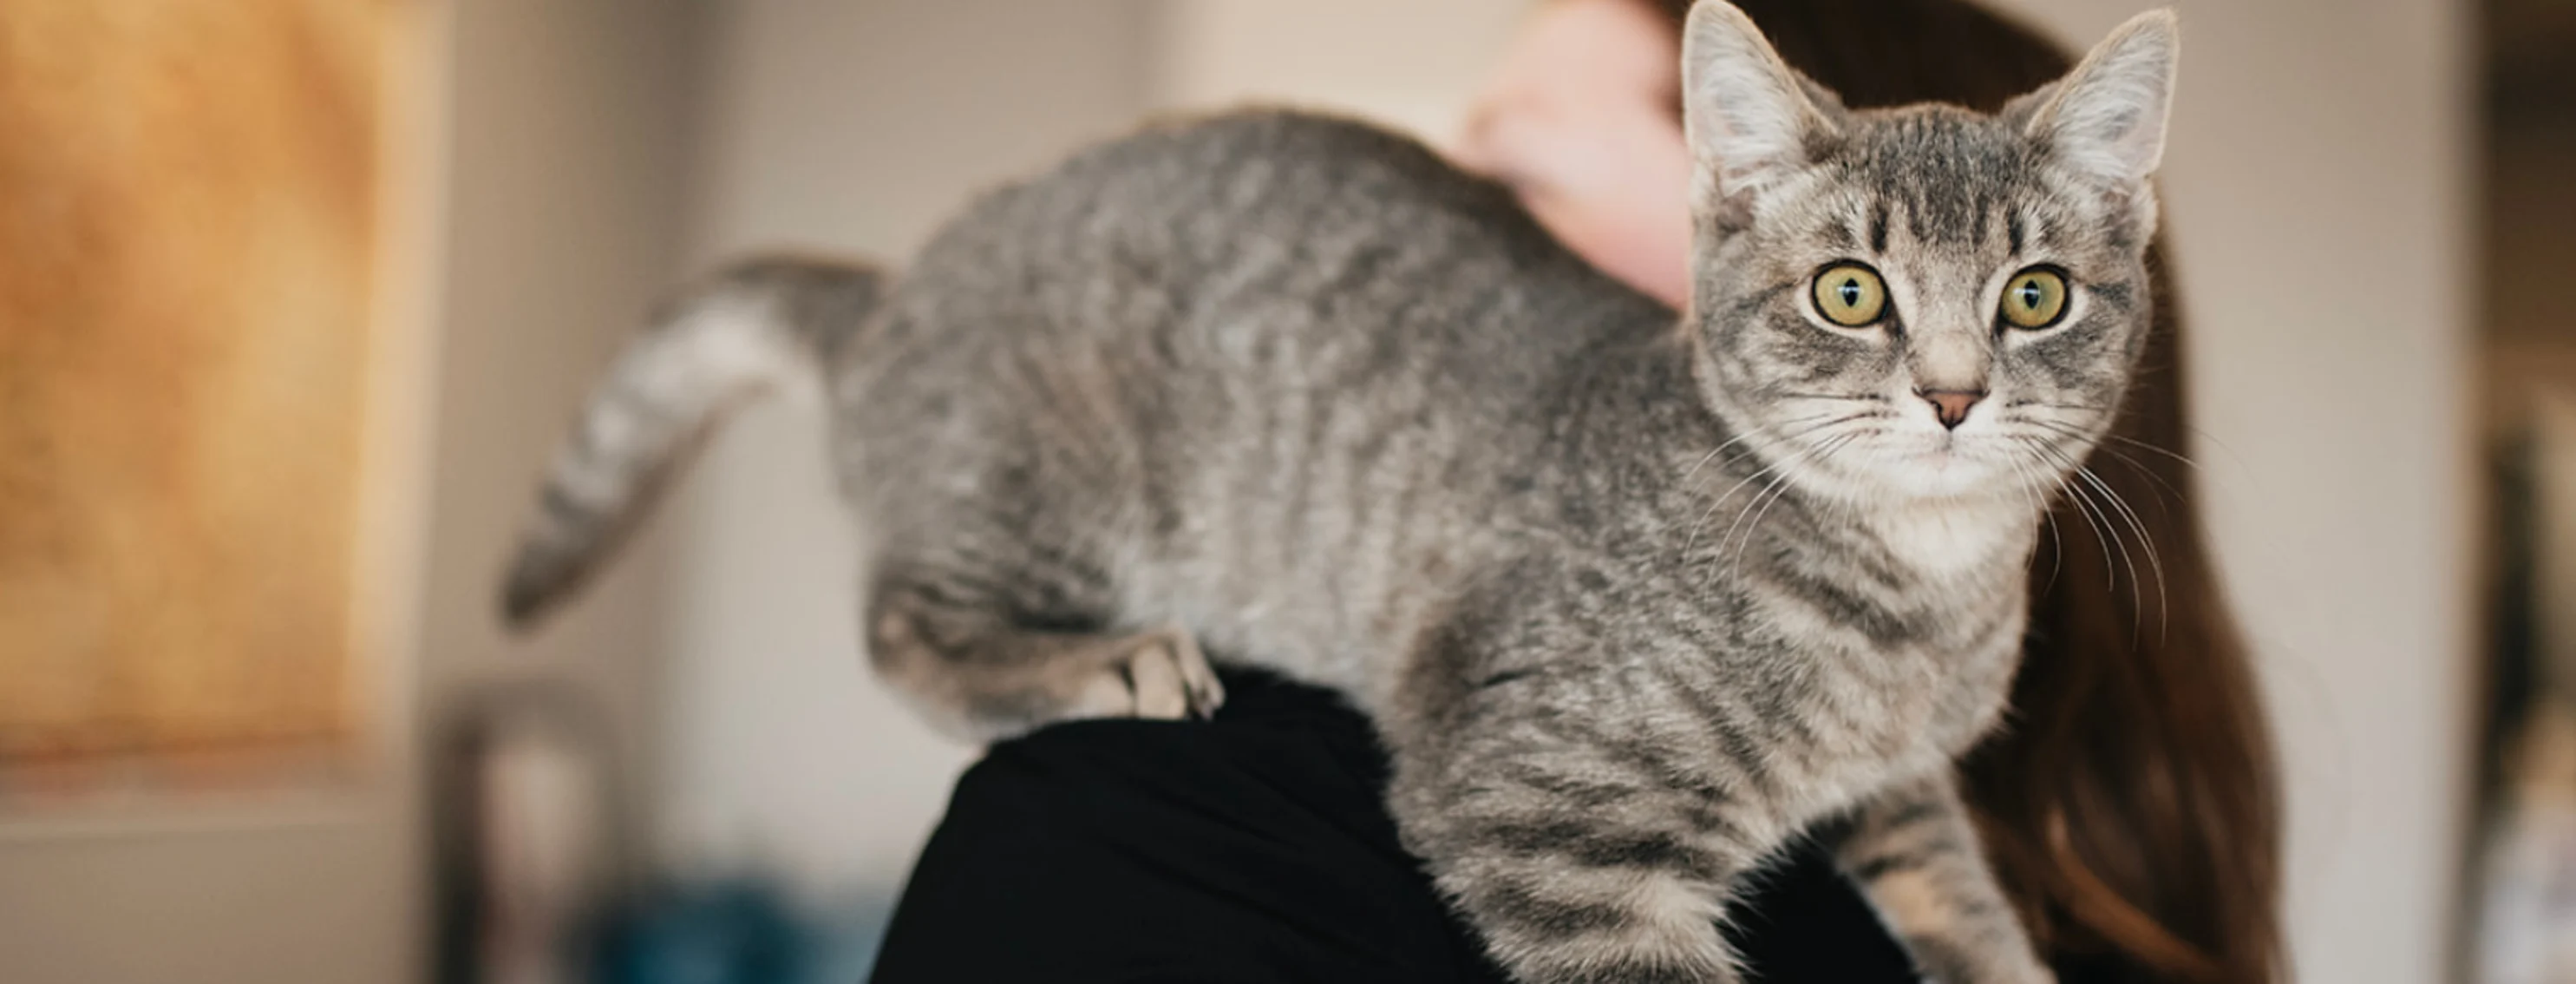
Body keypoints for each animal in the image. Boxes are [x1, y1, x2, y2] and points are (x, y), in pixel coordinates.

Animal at [497, 3, 2174, 979]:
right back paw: (1100, 659)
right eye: (1848, 291)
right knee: (904, 623)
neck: (1916, 592)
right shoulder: (1536, 805)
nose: (1952, 393)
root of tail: (898, 284)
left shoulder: (1903, 784)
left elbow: (1962, 892)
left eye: (2033, 297)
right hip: (1044, 481)